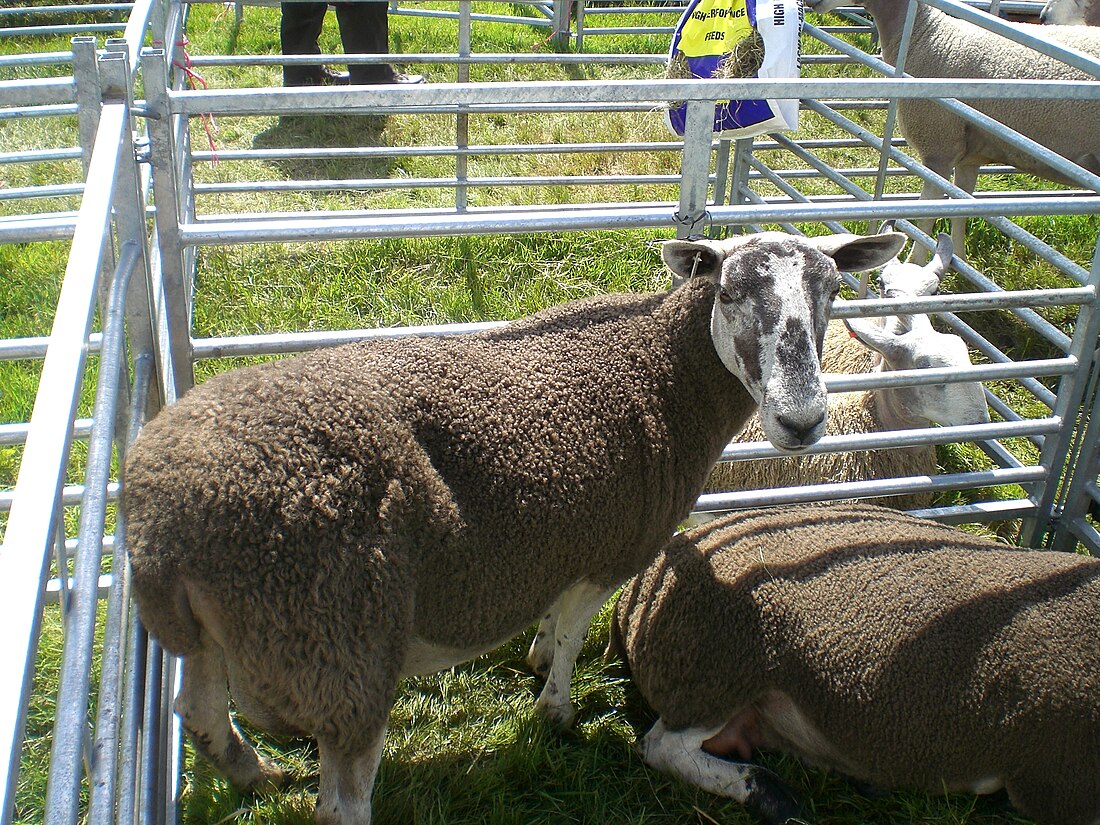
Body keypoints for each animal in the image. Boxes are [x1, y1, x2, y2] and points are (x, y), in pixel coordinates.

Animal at [124, 227, 906, 825]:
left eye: (832, 291)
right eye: (730, 292)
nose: (802, 421)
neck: (660, 375)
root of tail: (162, 521)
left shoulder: (563, 540)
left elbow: (552, 620)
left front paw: (532, 660)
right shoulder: (612, 545)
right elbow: (573, 635)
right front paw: (556, 711)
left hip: (214, 634)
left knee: (199, 712)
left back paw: (258, 775)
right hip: (337, 649)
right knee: (340, 804)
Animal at [809, 0, 1100, 258]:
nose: (1044, 16)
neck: (924, 34)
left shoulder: (939, 147)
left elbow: (924, 215)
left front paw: (916, 264)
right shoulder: (969, 157)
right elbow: (960, 208)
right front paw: (957, 261)